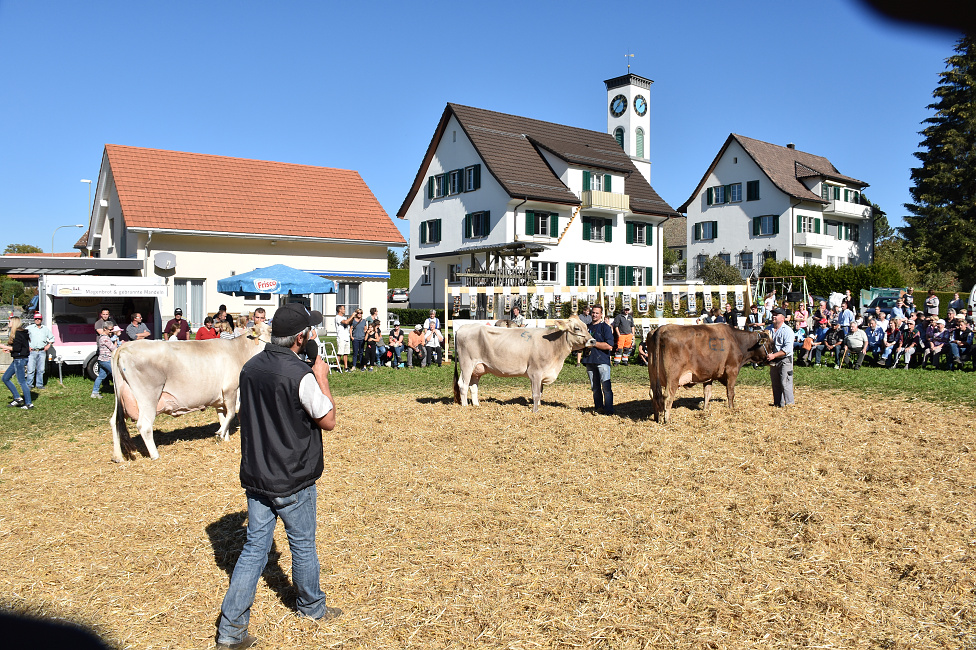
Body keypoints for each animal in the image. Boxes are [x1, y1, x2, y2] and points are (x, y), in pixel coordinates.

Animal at [110, 334, 264, 460]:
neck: (238, 351)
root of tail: (124, 347)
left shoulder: (220, 400)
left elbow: (223, 417)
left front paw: (224, 437)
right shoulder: (230, 390)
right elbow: (231, 414)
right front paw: (221, 433)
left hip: (121, 399)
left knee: (114, 422)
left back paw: (117, 457)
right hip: (148, 396)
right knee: (144, 425)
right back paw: (155, 455)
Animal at [452, 318, 596, 410]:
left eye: (587, 327)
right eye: (577, 328)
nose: (593, 341)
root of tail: (462, 328)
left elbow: (540, 394)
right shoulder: (535, 372)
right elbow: (536, 394)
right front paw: (535, 411)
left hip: (478, 368)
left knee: (473, 386)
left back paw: (476, 405)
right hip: (467, 363)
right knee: (463, 385)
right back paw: (465, 407)